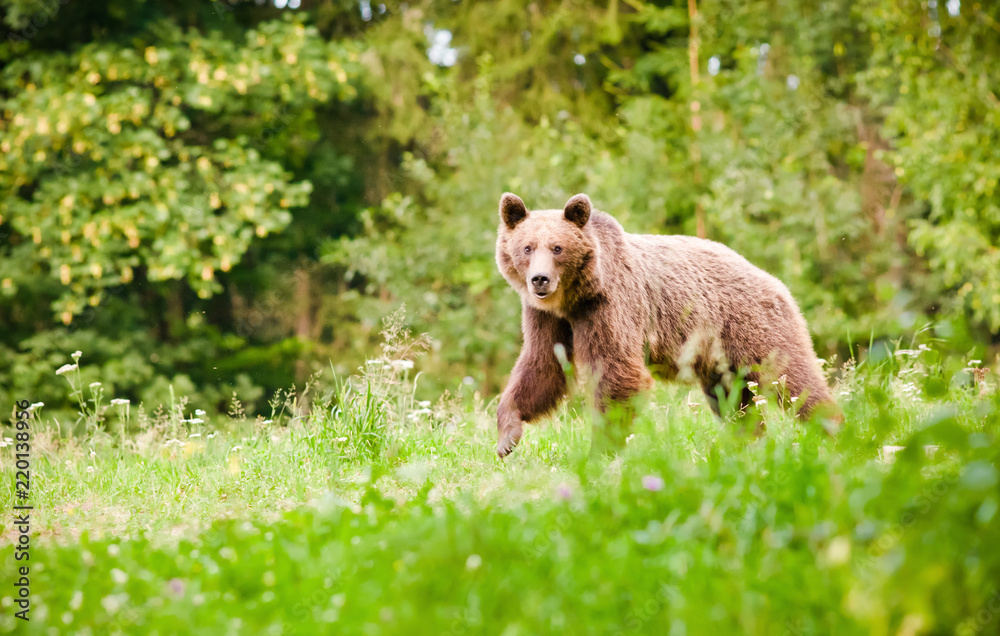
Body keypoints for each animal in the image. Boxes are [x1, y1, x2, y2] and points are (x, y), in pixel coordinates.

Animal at [494, 192, 835, 457]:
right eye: (527, 247)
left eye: (557, 247)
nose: (540, 279)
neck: (575, 298)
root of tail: (775, 282)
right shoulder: (547, 318)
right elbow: (543, 366)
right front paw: (507, 436)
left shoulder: (611, 306)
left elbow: (617, 371)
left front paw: (600, 450)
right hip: (718, 358)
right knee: (733, 401)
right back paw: (751, 443)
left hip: (752, 327)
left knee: (793, 380)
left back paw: (833, 429)